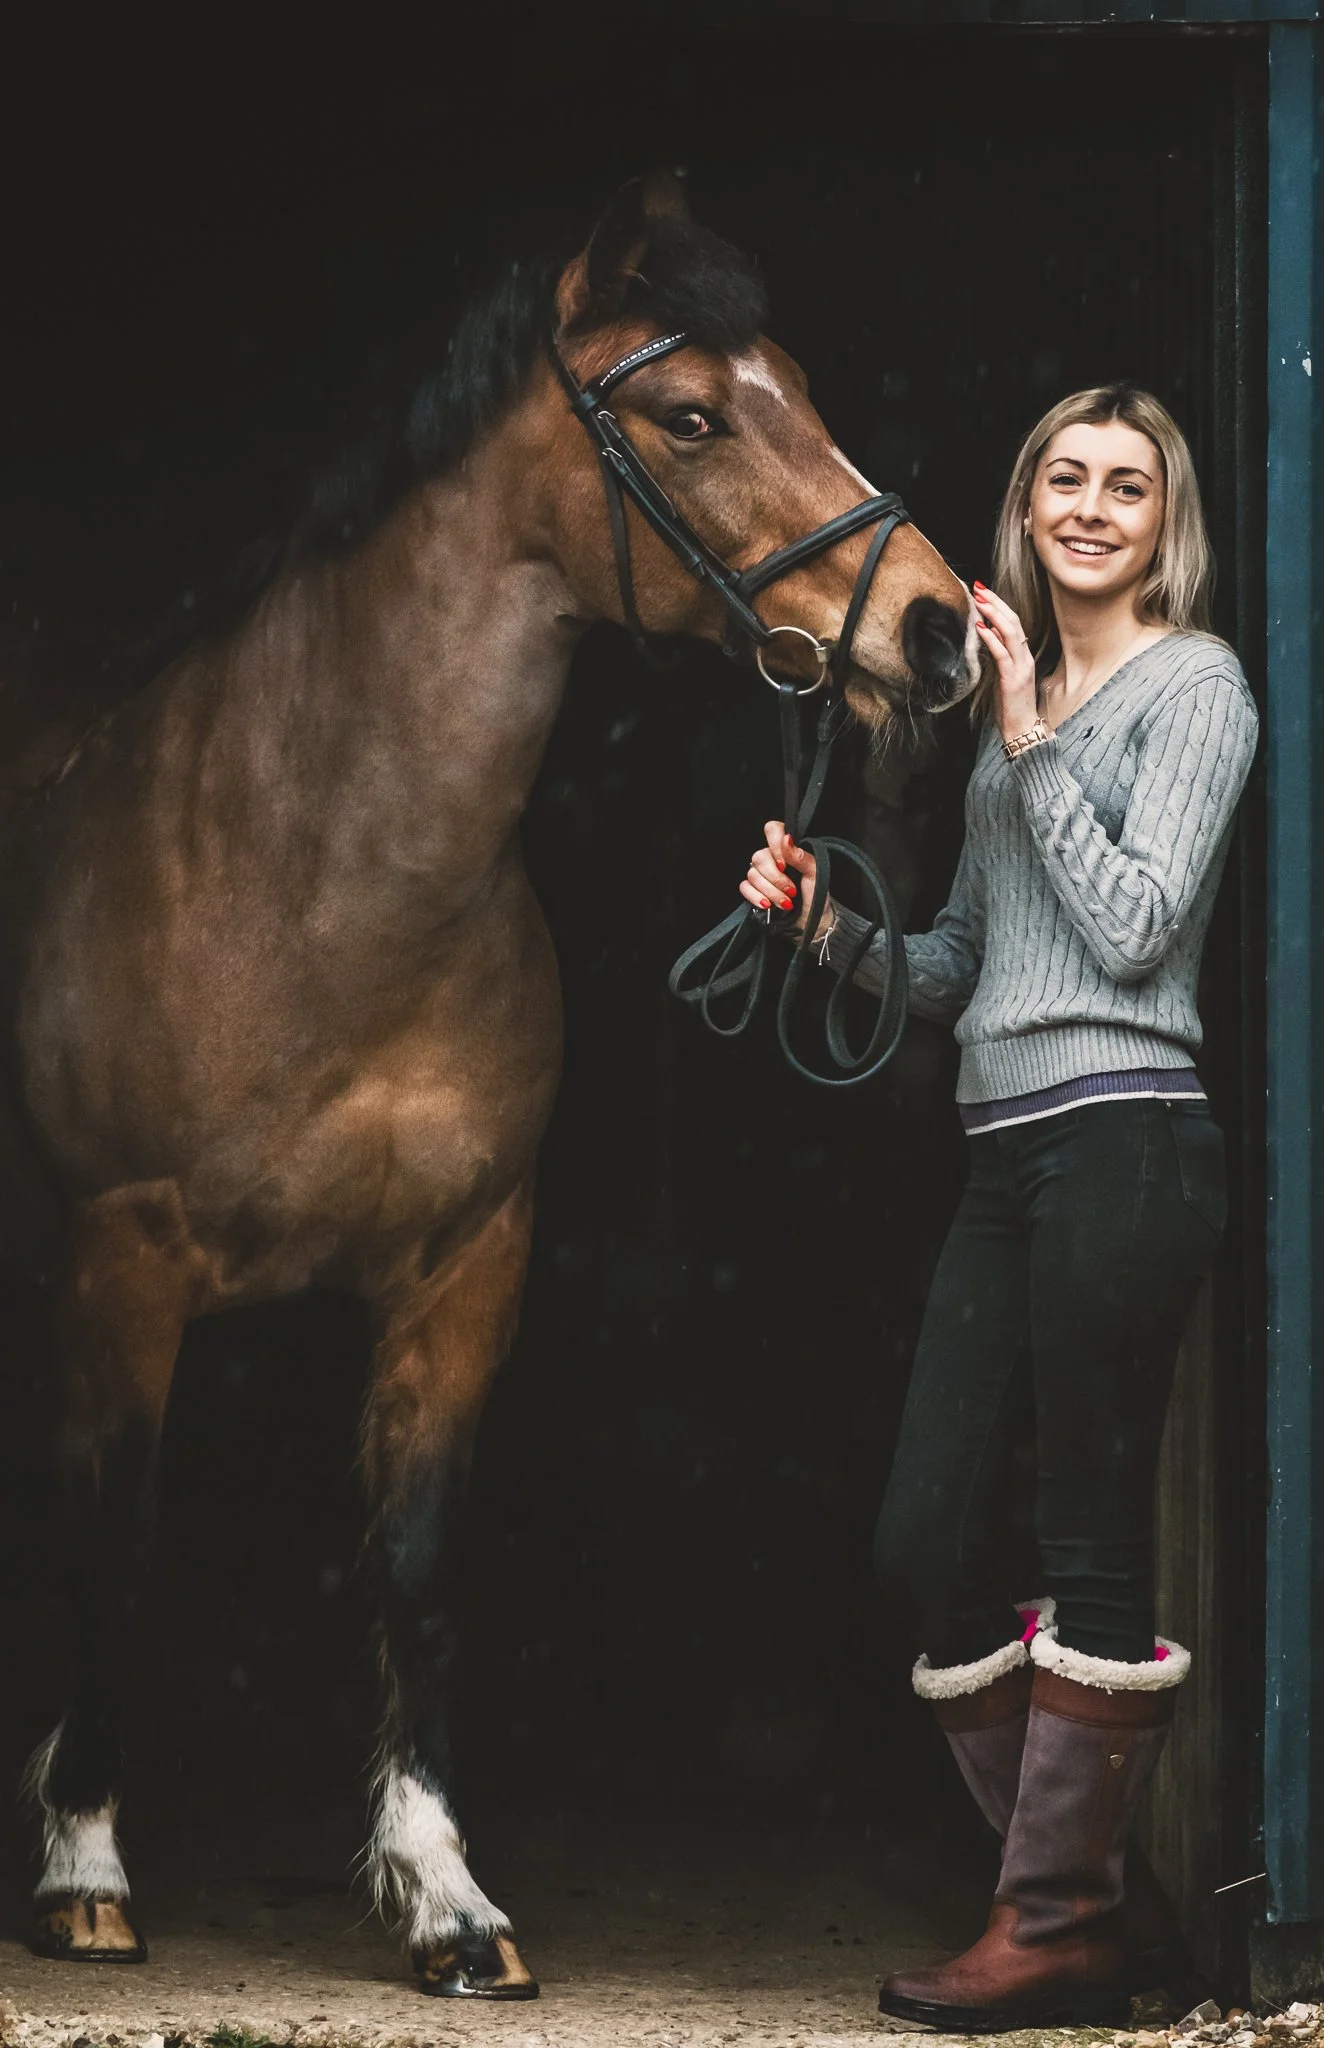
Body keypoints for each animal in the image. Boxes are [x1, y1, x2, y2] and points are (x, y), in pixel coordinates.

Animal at [3, 174, 978, 2000]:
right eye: (690, 416)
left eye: (808, 387)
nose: (938, 627)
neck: (314, 872)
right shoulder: (123, 1259)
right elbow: (116, 1545)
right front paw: (85, 1861)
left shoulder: (463, 1270)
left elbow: (418, 1563)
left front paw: (446, 1894)